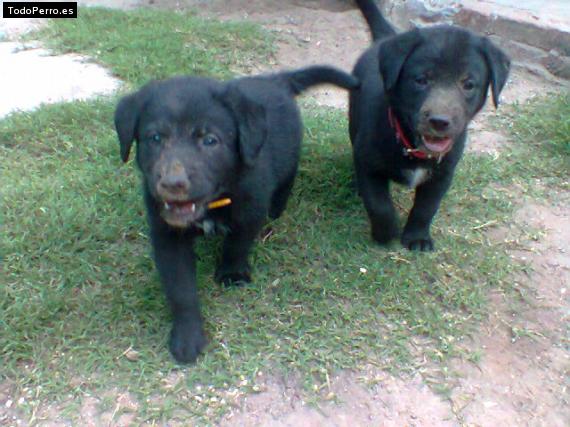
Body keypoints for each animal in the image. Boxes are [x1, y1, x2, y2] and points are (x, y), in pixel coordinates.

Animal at [113, 65, 358, 362]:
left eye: (210, 140)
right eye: (155, 138)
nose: (172, 183)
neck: (213, 202)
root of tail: (276, 80)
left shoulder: (251, 206)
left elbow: (237, 243)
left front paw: (231, 273)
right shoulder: (167, 233)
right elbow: (181, 287)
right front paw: (188, 336)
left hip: (290, 154)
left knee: (287, 179)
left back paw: (278, 209)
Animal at [348, 0, 508, 251]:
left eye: (468, 84)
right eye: (421, 80)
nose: (439, 121)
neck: (411, 145)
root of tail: (386, 38)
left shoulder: (443, 173)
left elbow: (426, 208)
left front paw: (417, 238)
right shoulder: (368, 161)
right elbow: (379, 204)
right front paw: (386, 233)